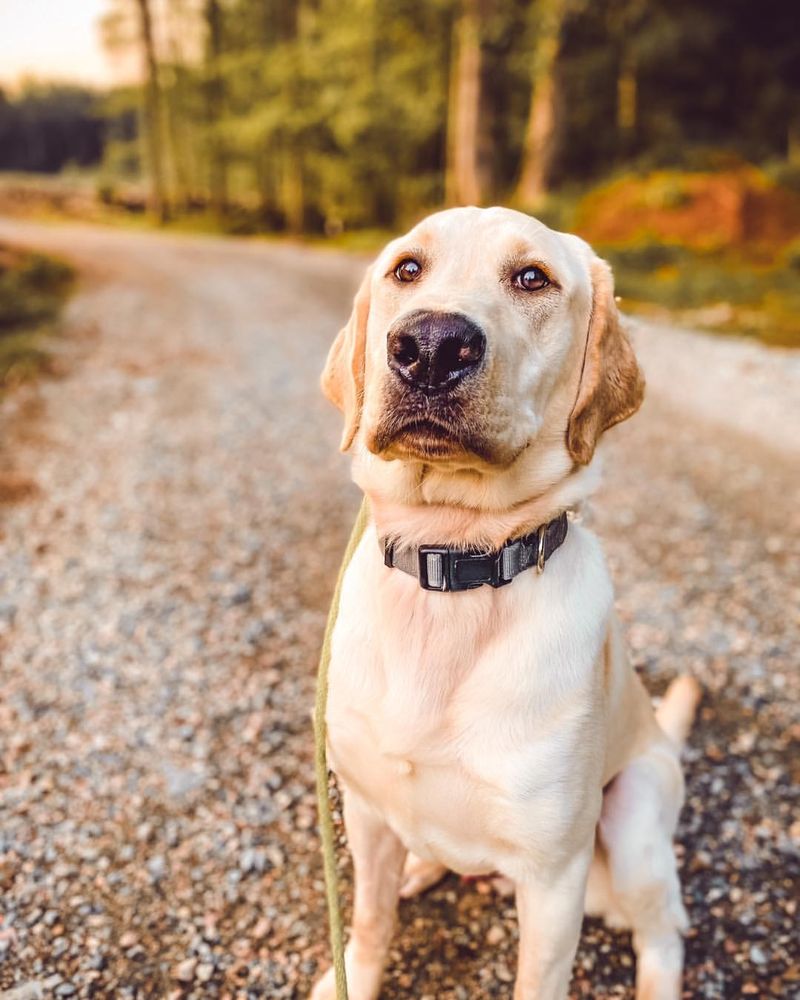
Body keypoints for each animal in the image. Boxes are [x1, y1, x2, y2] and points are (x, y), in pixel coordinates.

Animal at [312, 205, 700, 1000]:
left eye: (532, 278)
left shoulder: (554, 879)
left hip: (635, 825)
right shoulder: (364, 812)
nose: (431, 346)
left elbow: (539, 979)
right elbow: (369, 921)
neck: (453, 561)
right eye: (407, 269)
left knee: (663, 934)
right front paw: (350, 976)